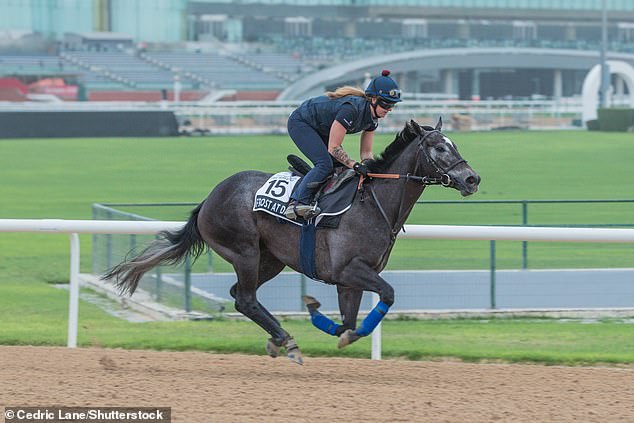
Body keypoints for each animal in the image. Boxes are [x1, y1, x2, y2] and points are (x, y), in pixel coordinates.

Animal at [103, 118, 478, 364]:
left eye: (456, 145)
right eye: (439, 147)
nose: (472, 178)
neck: (373, 203)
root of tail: (209, 199)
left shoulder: (350, 280)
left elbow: (349, 323)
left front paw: (325, 319)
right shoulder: (349, 270)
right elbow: (386, 294)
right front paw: (321, 318)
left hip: (270, 259)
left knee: (240, 295)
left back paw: (275, 339)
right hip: (244, 251)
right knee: (246, 299)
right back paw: (287, 341)